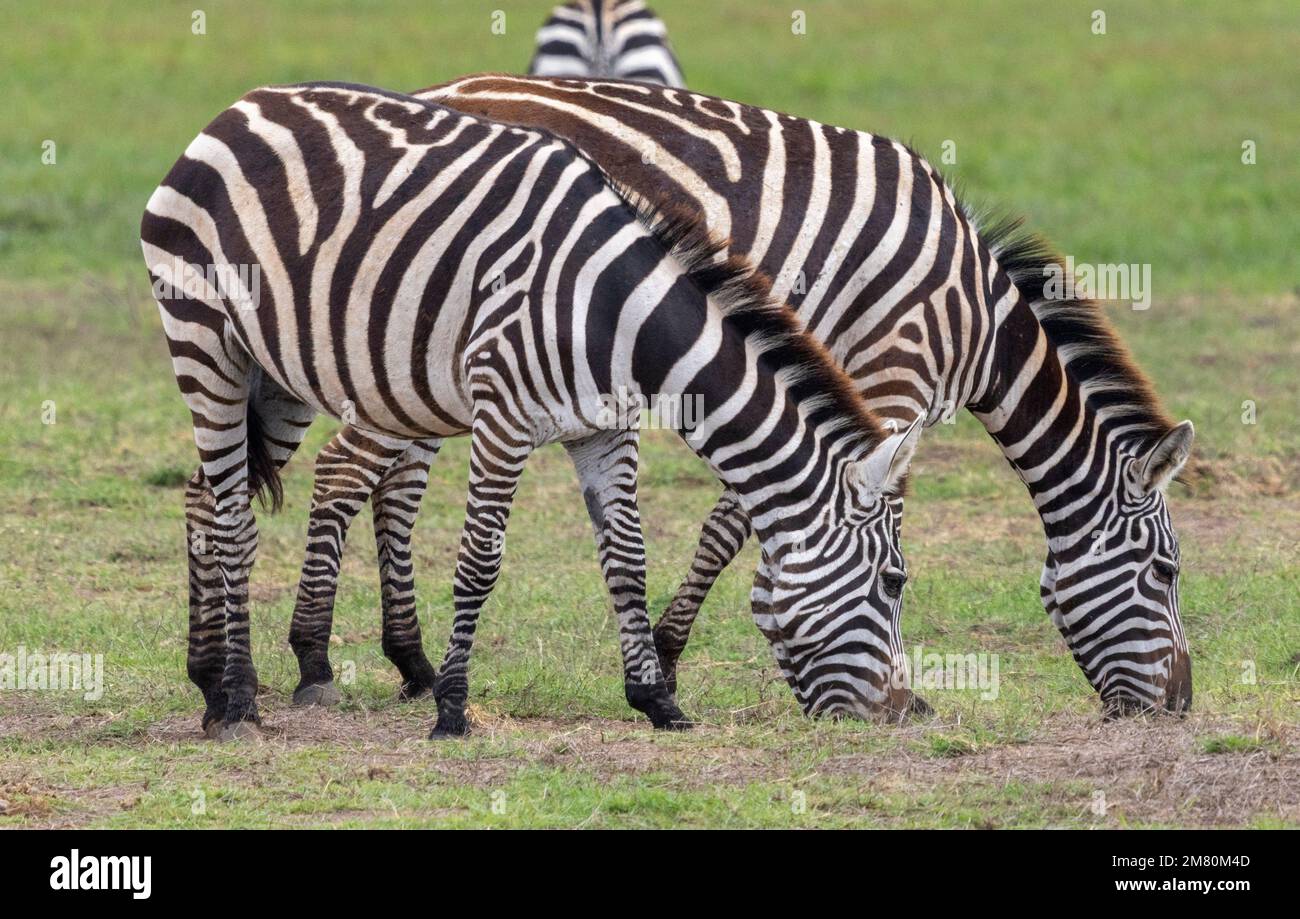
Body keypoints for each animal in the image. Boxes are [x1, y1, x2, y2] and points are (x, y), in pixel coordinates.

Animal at [142, 80, 925, 738]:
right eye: (895, 582)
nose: (902, 712)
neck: (615, 313)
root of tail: (241, 106)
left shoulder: (604, 430)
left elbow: (628, 557)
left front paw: (657, 701)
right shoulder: (503, 418)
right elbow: (480, 560)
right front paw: (452, 708)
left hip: (276, 374)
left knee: (204, 497)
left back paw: (207, 683)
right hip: (205, 339)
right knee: (235, 521)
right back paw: (239, 701)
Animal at [276, 73, 1196, 717]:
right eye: (1165, 569)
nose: (1181, 706)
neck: (972, 315)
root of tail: (438, 94)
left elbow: (736, 518)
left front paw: (679, 646)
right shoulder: (890, 376)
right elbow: (824, 519)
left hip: (422, 350)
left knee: (393, 478)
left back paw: (409, 659)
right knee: (345, 469)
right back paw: (318, 658)